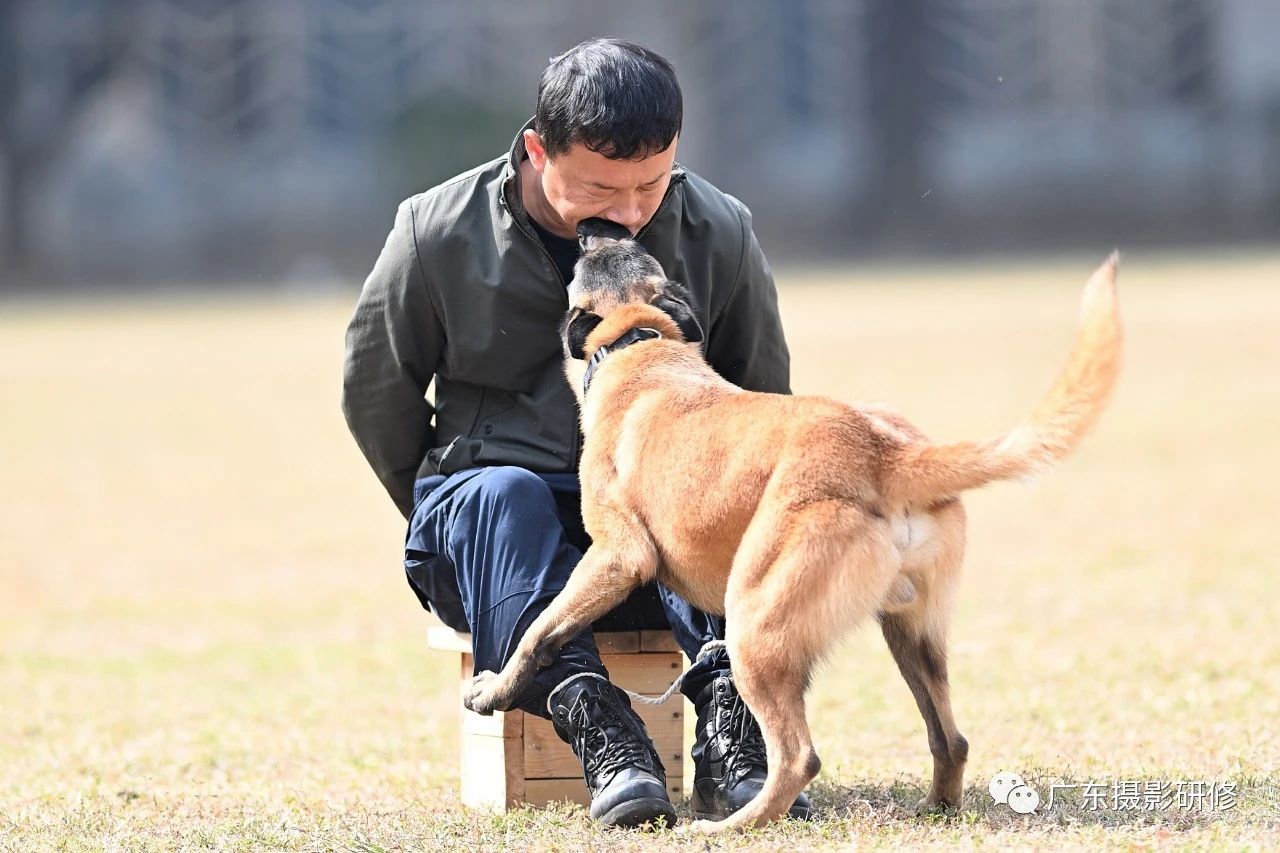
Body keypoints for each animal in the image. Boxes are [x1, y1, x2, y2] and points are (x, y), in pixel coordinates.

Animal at [463, 235, 1121, 835]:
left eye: (585, 261)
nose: (593, 230)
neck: (639, 341)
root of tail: (883, 452)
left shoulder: (617, 557)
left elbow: (540, 631)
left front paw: (494, 691)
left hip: (756, 622)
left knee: (799, 758)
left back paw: (728, 826)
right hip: (910, 634)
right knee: (950, 739)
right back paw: (935, 809)